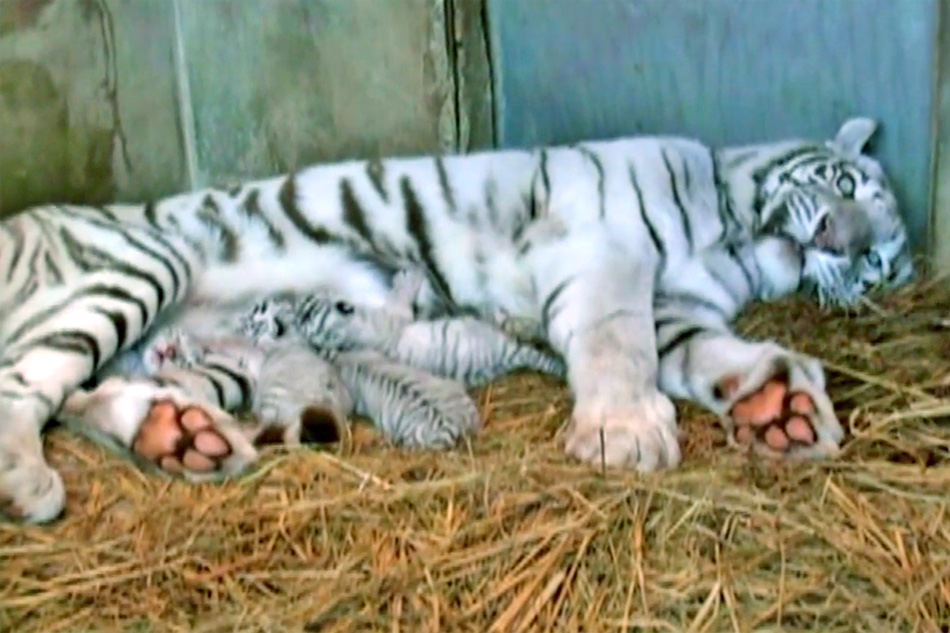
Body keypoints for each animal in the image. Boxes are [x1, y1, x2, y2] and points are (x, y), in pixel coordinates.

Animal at [0, 116, 916, 520]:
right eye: (842, 184)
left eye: (877, 259)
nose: (838, 239)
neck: (729, 238)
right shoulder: (604, 248)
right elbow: (617, 342)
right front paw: (624, 432)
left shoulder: (676, 306)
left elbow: (704, 351)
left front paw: (778, 406)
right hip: (134, 269)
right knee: (24, 386)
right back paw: (28, 486)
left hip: (209, 352)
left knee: (81, 395)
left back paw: (180, 437)